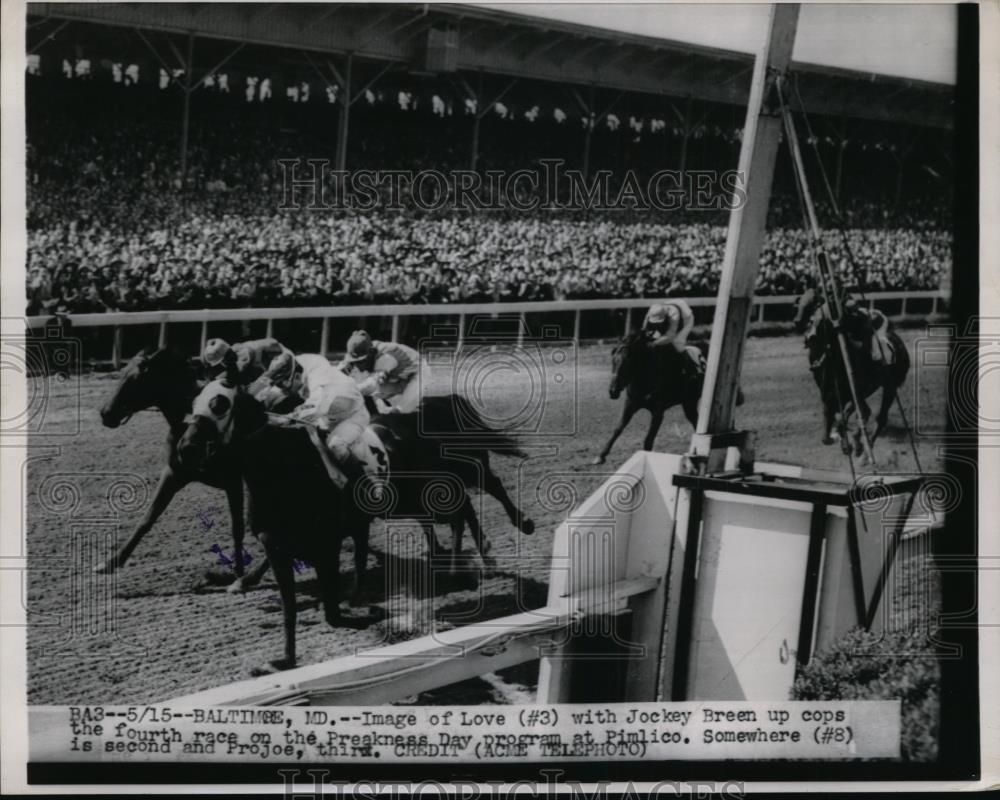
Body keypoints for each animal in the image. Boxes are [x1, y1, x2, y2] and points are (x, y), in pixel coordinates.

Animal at [588, 332, 708, 468]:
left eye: (628, 364)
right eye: (613, 362)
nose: (612, 391)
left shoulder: (658, 412)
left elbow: (648, 439)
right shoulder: (630, 404)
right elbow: (618, 428)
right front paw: (600, 456)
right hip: (688, 403)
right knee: (695, 420)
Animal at [792, 292, 912, 456]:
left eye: (824, 318)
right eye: (811, 315)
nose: (810, 336)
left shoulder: (854, 393)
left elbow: (846, 417)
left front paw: (850, 442)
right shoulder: (830, 394)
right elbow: (832, 418)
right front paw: (837, 438)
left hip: (890, 386)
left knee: (880, 417)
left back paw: (867, 446)